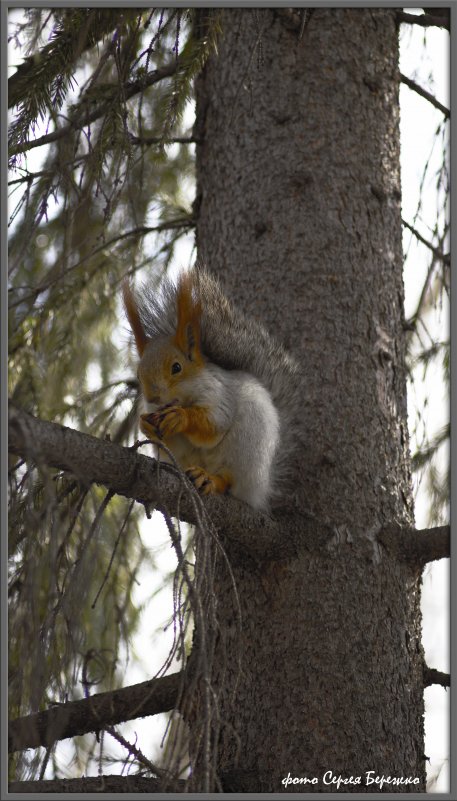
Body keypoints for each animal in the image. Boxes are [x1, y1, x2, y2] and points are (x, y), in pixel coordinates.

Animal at [123, 266, 302, 510]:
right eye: (139, 375)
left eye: (177, 367)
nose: (153, 397)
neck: (186, 395)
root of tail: (260, 490)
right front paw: (146, 425)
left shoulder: (221, 394)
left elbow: (214, 426)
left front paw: (181, 418)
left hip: (247, 448)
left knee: (229, 480)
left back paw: (210, 478)